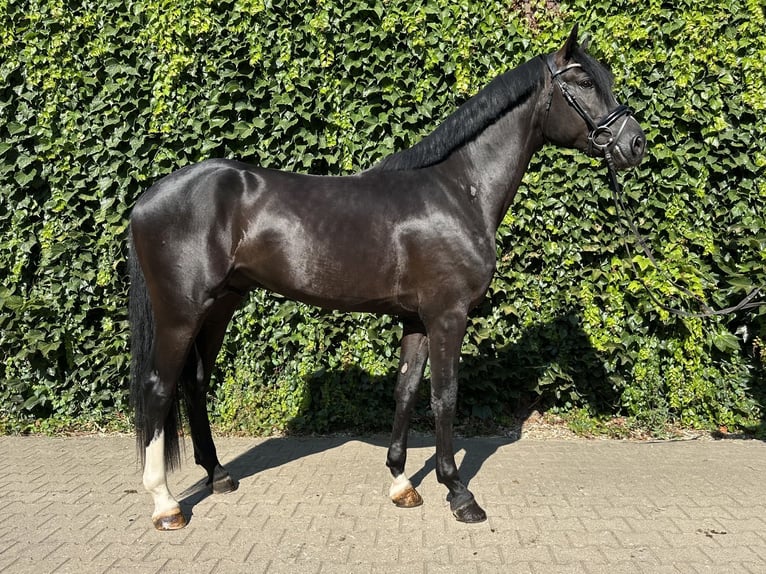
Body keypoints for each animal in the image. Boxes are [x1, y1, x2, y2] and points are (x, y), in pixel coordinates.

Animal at [128, 25, 646, 530]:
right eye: (584, 82)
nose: (635, 144)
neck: (458, 190)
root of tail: (147, 199)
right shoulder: (448, 317)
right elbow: (444, 397)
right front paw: (458, 493)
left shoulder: (417, 320)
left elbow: (406, 391)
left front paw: (401, 483)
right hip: (181, 313)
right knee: (158, 388)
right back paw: (165, 504)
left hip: (220, 306)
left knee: (195, 383)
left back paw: (218, 476)